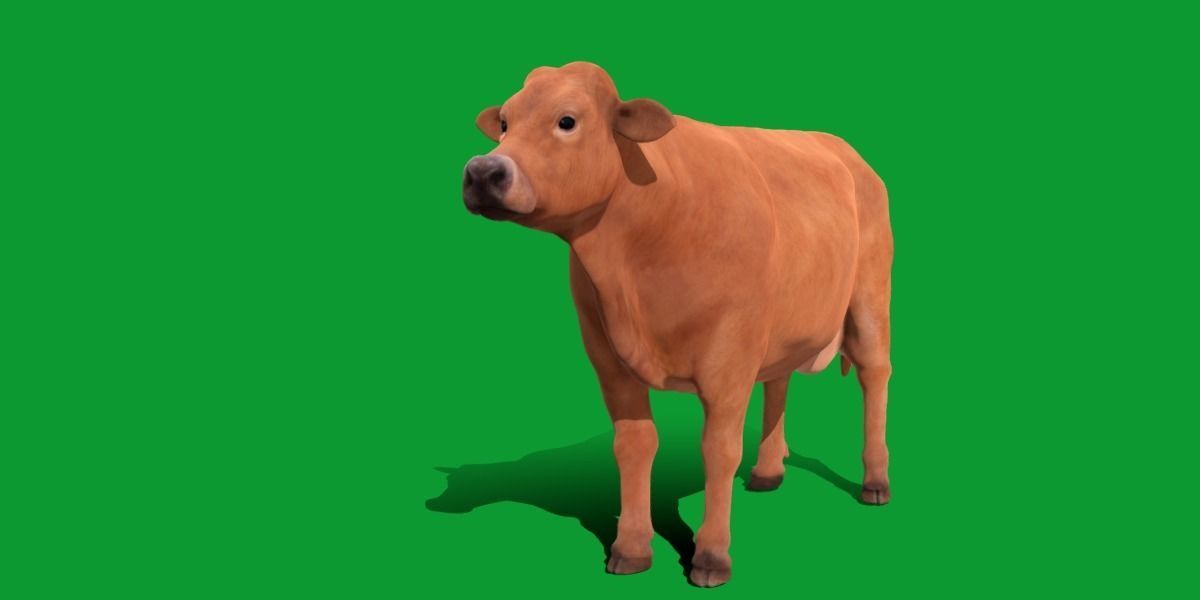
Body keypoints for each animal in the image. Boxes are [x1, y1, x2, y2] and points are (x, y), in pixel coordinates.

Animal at [460, 62, 893, 587]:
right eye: (504, 123)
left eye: (567, 121)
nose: (483, 171)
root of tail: (841, 148)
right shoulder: (606, 355)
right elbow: (634, 444)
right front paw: (630, 548)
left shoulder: (729, 356)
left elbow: (719, 450)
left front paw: (711, 556)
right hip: (784, 322)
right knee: (779, 380)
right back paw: (768, 472)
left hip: (869, 294)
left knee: (874, 374)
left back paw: (875, 481)